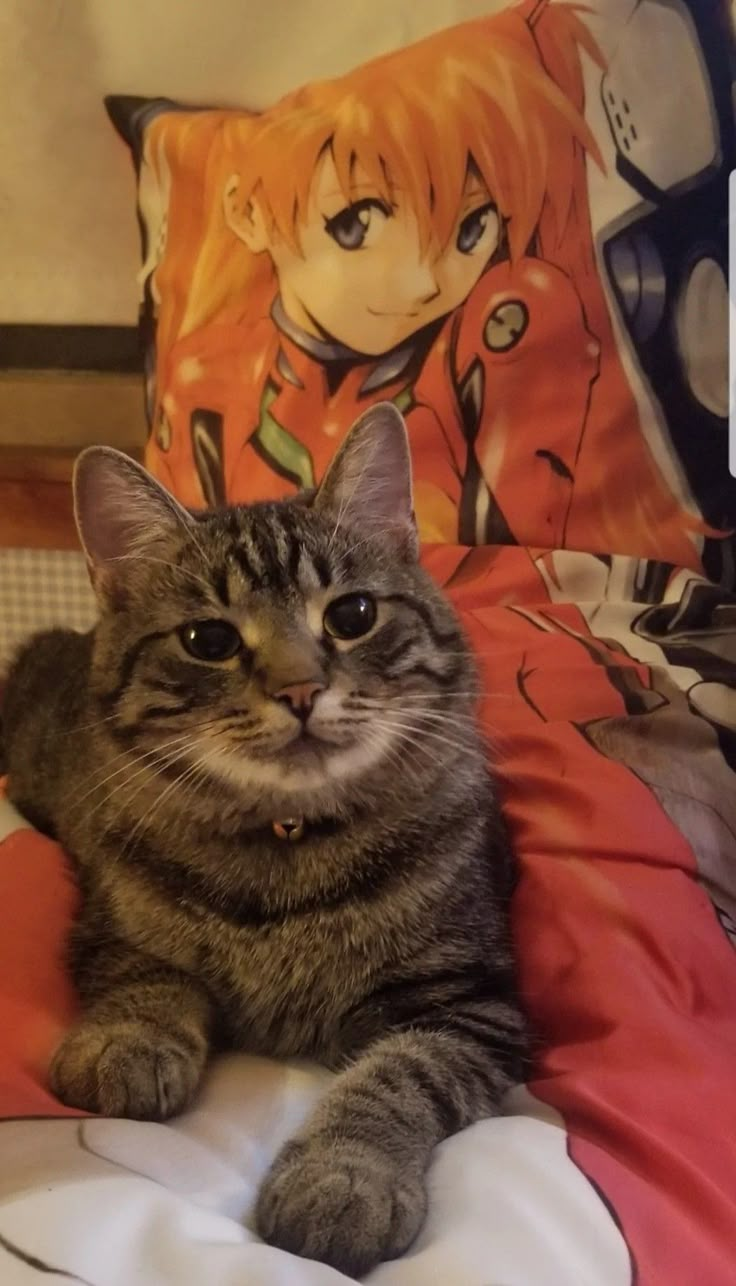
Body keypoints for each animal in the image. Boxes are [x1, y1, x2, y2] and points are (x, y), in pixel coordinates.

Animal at [1, 403, 530, 1275]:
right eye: (209, 641)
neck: (290, 846)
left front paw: (342, 1179)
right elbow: (147, 980)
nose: (301, 689)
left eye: (353, 616)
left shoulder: (468, 1003)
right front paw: (127, 1042)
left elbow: (395, 1078)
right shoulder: (108, 930)